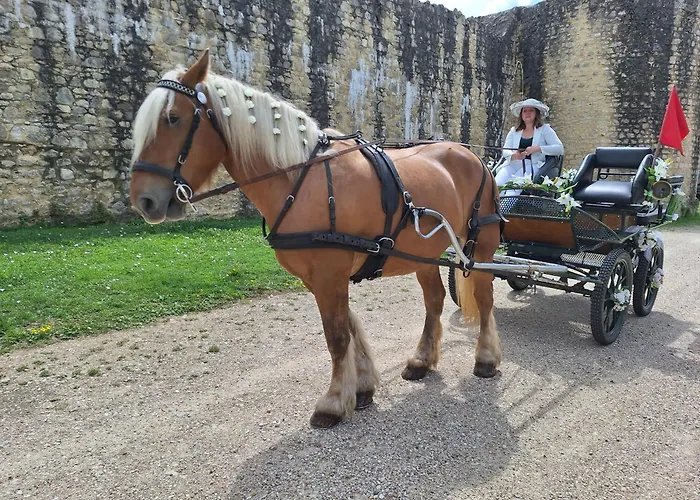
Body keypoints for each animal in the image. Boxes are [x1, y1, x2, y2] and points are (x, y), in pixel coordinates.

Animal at [128, 49, 502, 428]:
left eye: (173, 118)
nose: (143, 200)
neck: (301, 180)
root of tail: (473, 155)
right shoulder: (319, 277)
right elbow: (348, 327)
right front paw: (361, 386)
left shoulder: (330, 272)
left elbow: (336, 337)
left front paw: (334, 401)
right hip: (422, 252)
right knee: (434, 300)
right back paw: (422, 360)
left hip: (483, 245)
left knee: (484, 299)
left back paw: (486, 358)